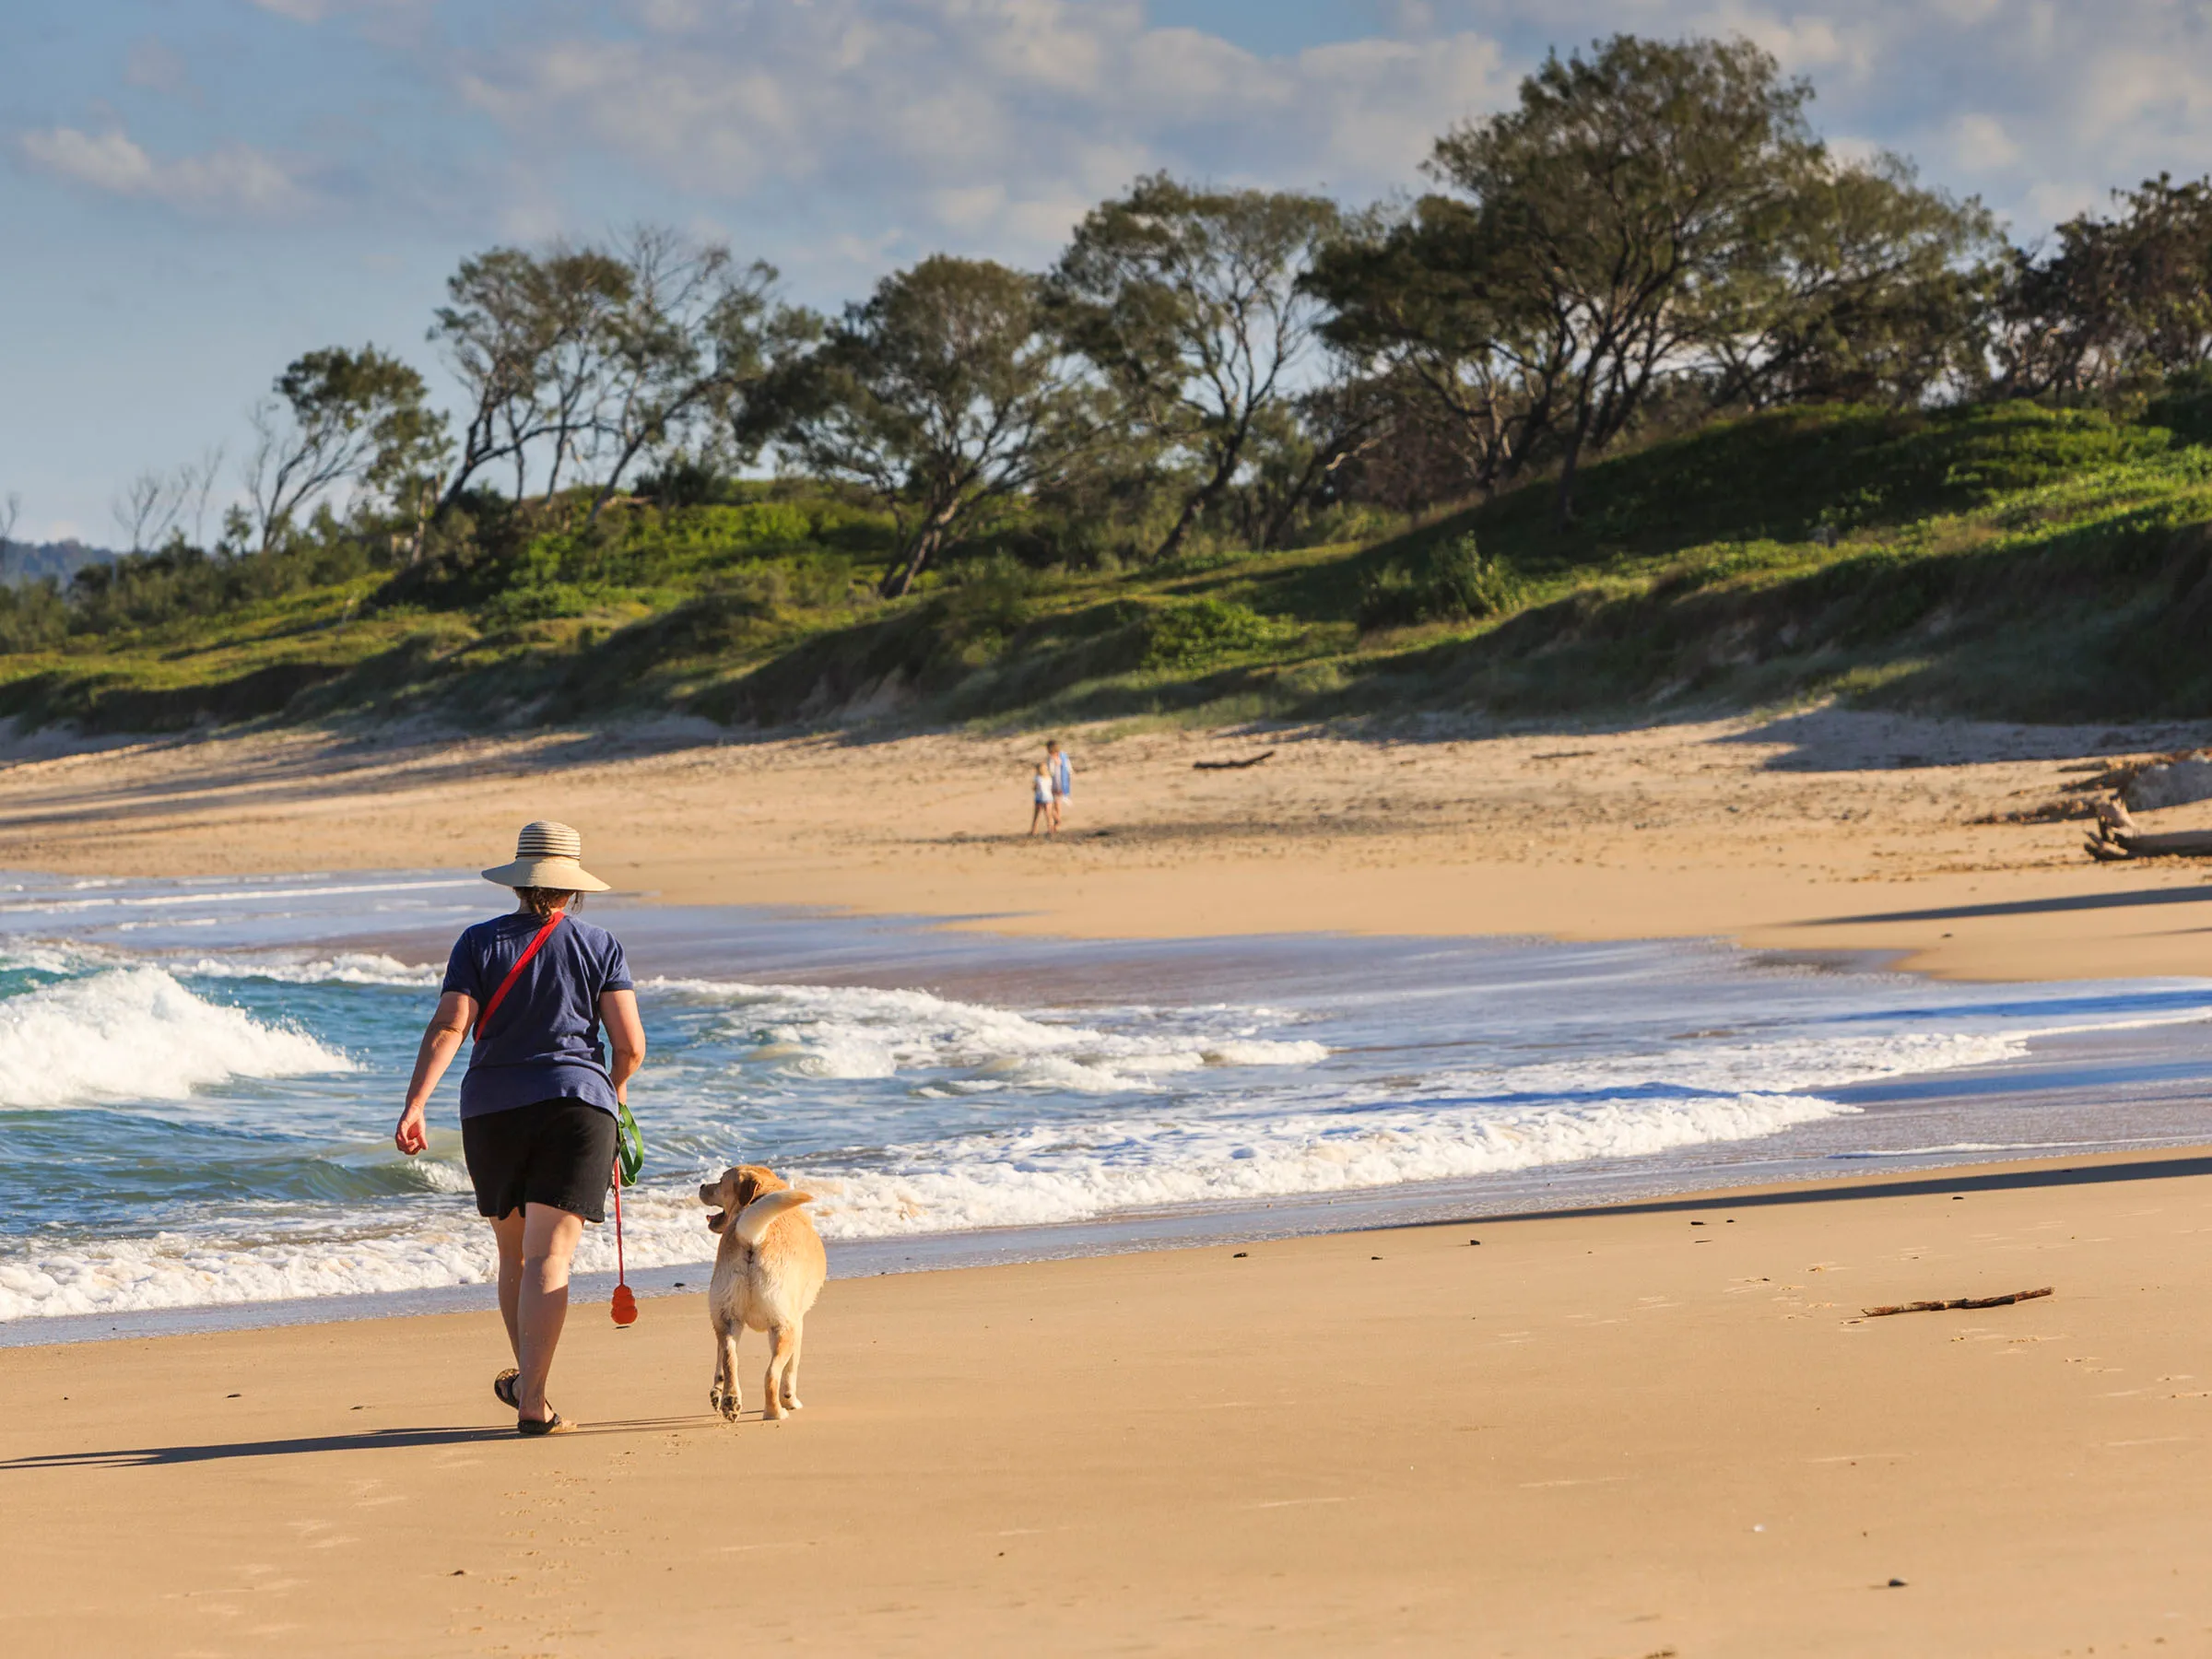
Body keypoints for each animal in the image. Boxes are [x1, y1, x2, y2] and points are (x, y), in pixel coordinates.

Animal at [694, 1159, 827, 1424]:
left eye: (720, 1181)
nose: (702, 1185)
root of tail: (752, 1238)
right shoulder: (798, 1324)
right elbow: (791, 1370)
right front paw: (791, 1400)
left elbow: (719, 1361)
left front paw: (717, 1392)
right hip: (784, 1328)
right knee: (771, 1374)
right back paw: (776, 1412)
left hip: (727, 1318)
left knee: (729, 1359)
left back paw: (730, 1401)